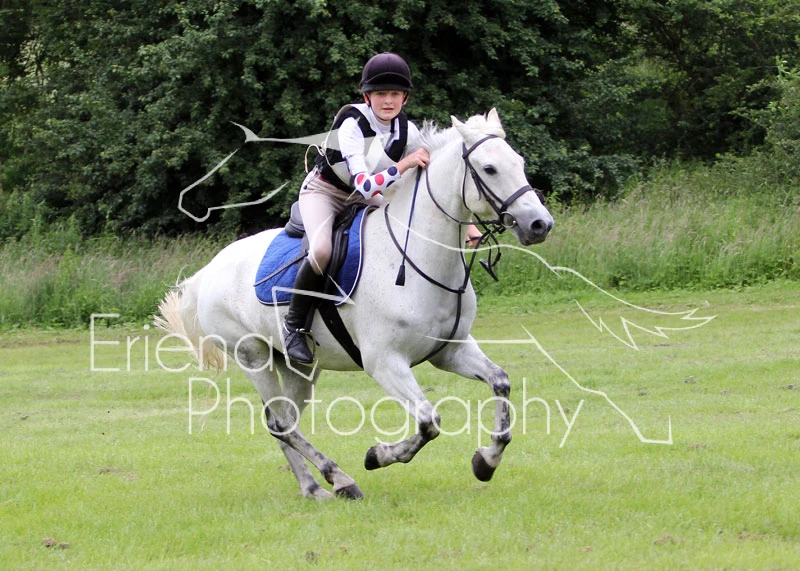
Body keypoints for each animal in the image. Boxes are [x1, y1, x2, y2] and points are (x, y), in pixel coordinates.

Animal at [155, 108, 554, 499]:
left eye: (519, 162)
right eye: (489, 169)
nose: (540, 224)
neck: (416, 257)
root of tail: (206, 272)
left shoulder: (450, 350)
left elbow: (500, 383)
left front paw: (486, 461)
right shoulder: (385, 362)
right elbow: (429, 423)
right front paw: (378, 456)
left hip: (298, 367)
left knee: (283, 421)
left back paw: (314, 487)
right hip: (253, 356)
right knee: (282, 422)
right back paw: (339, 478)